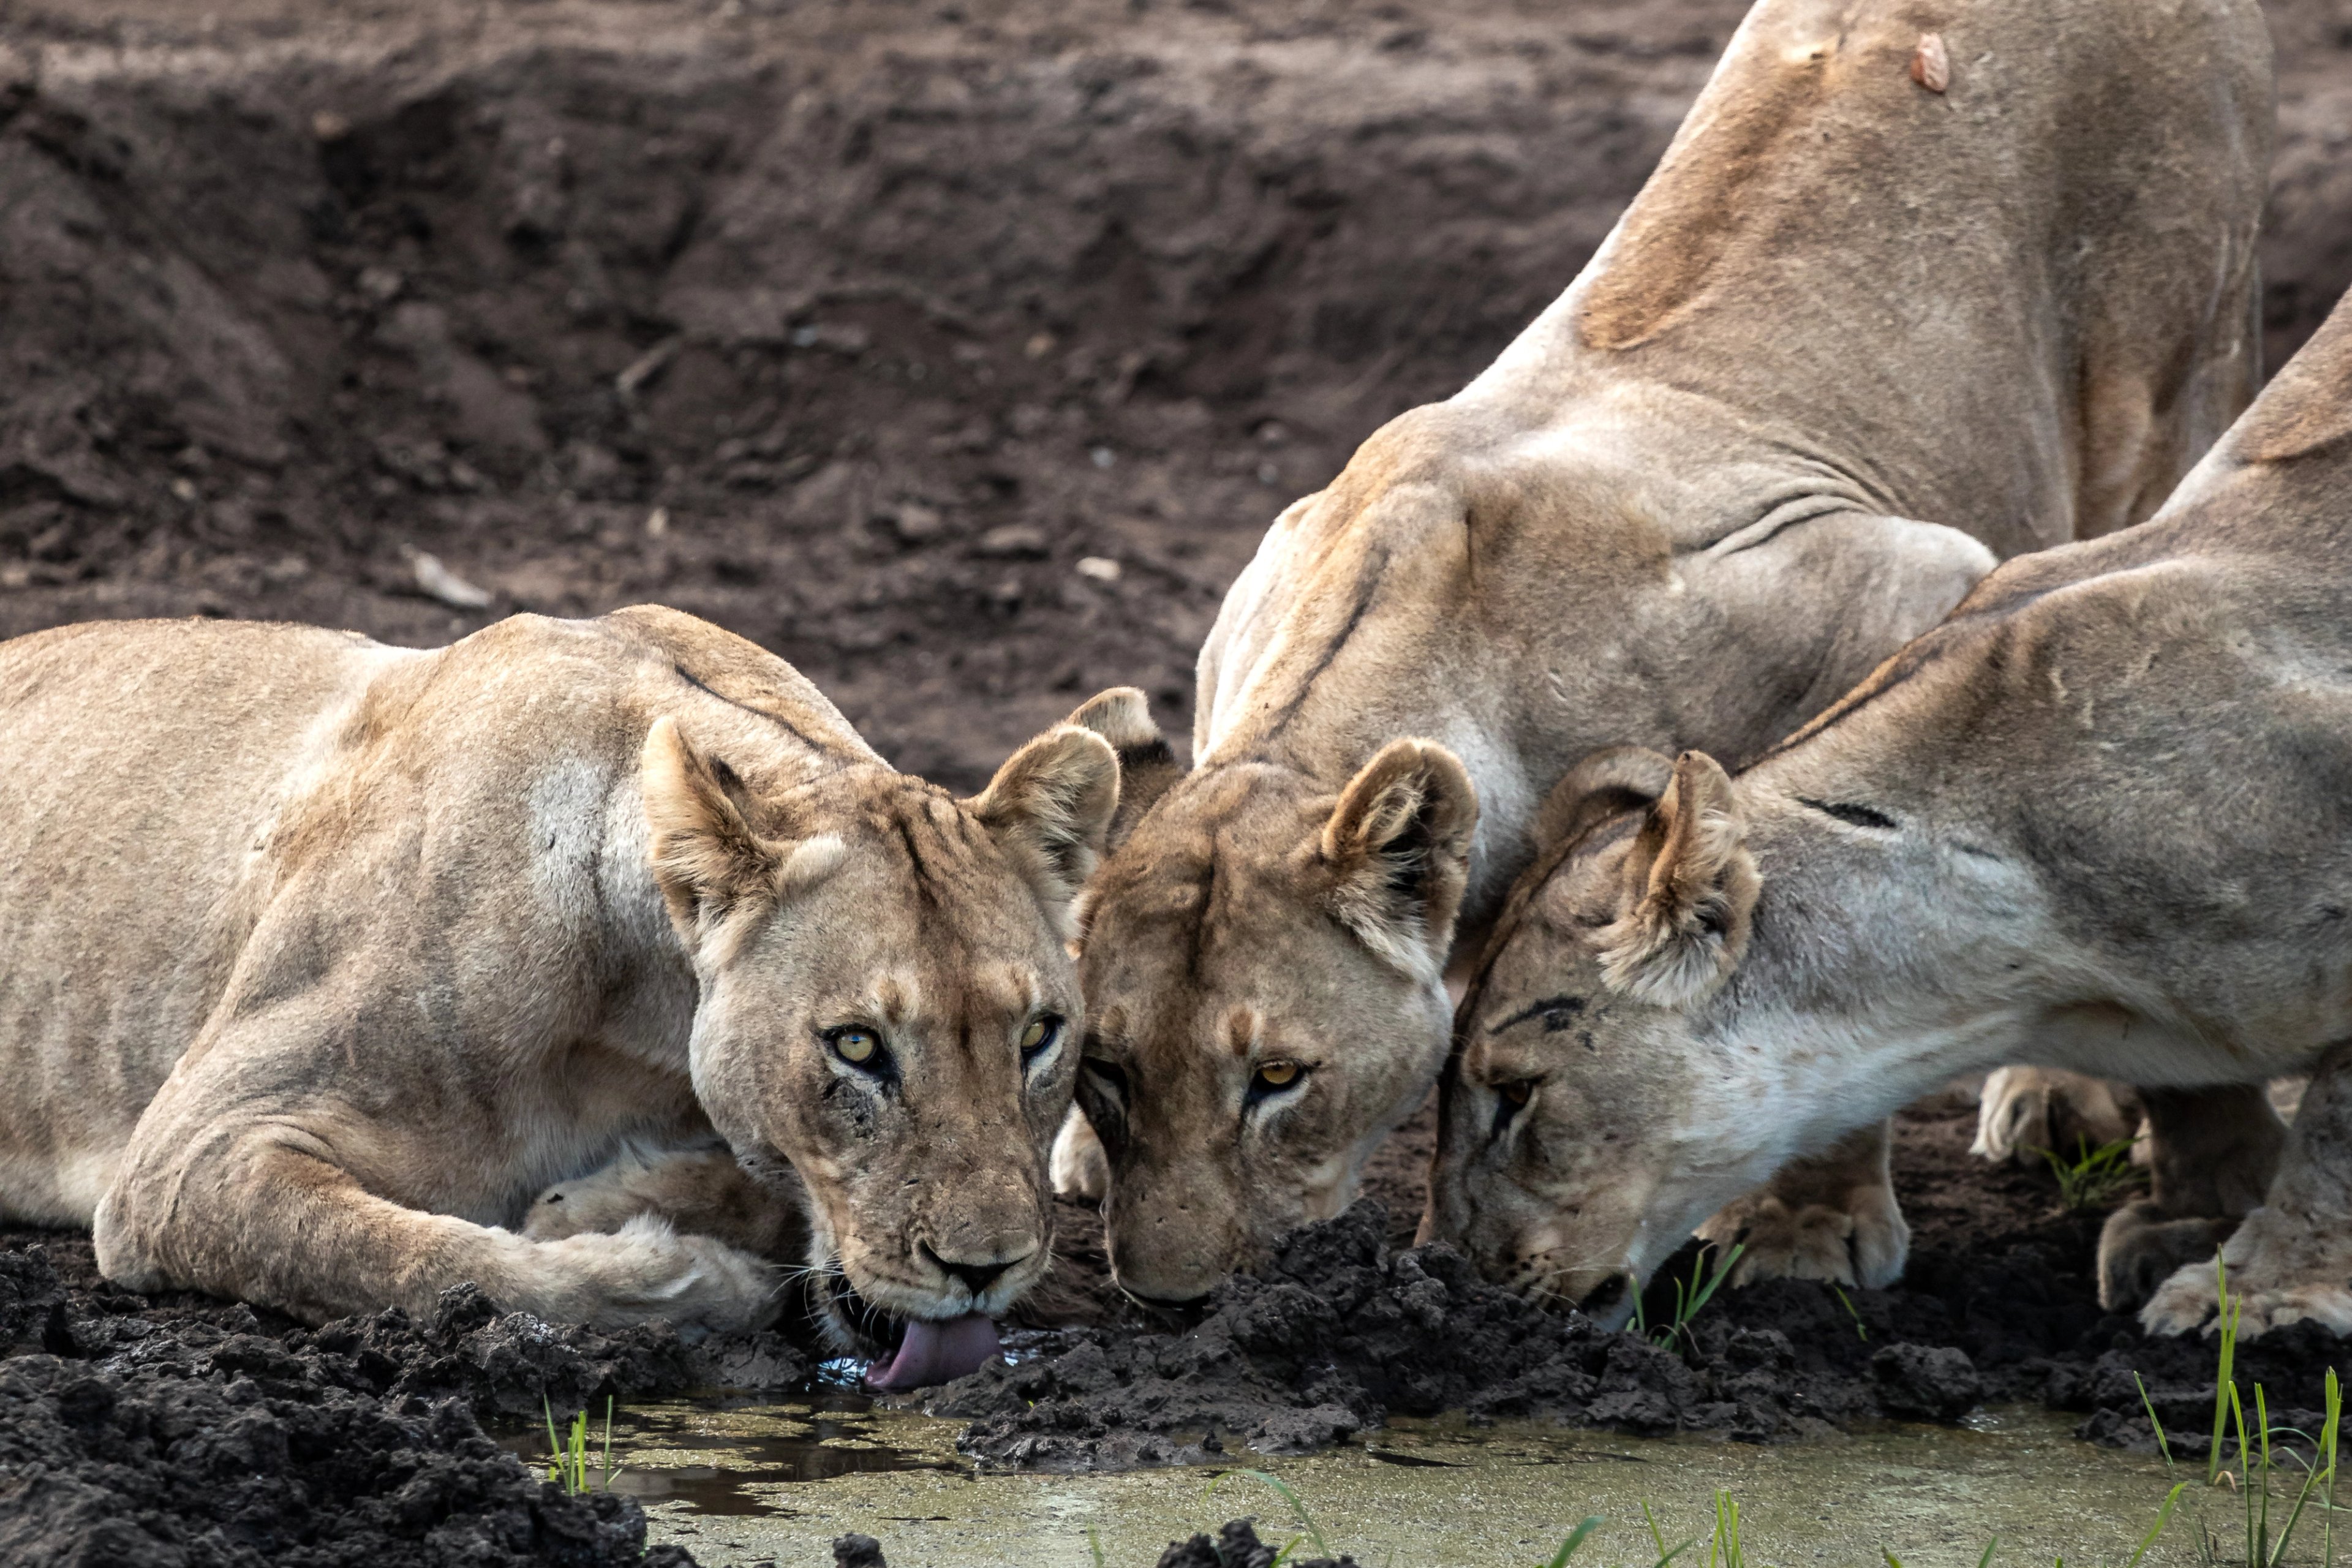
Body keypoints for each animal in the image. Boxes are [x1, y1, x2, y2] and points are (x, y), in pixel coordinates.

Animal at [0, 607, 1117, 1383]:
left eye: (1037, 1036)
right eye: (854, 1045)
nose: (987, 1269)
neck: (647, 1015)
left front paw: (605, 1201)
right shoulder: (184, 1155)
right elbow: (418, 1259)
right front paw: (691, 1279)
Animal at [1055, 0, 2273, 1305]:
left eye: (1279, 1079)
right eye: (1109, 1070)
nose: (1171, 1298)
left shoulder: (1907, 581)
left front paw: (1803, 1228)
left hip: (2179, 386)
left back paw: (2076, 1106)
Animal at [1427, 280, 2352, 1338]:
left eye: (1516, 1094)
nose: (1446, 1272)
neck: (2035, 974)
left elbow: (2335, 1131)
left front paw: (2261, 1294)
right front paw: (2197, 1225)